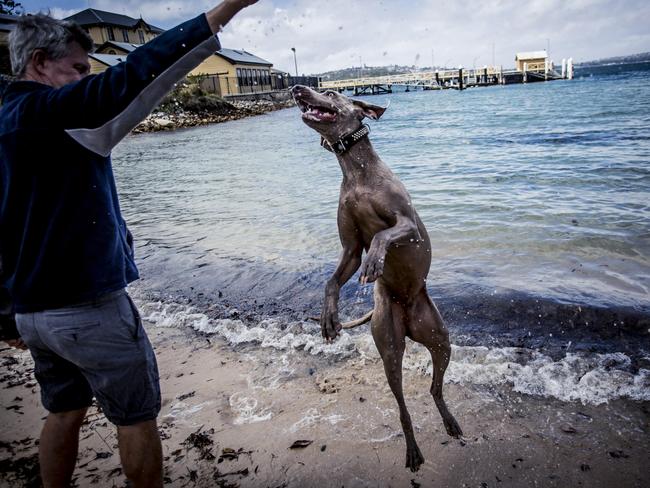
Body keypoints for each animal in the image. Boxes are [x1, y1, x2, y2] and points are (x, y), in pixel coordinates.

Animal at [292, 85, 458, 472]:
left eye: (330, 92)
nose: (296, 88)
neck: (356, 172)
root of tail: (409, 317)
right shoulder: (350, 249)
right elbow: (332, 281)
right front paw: (329, 317)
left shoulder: (408, 226)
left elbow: (384, 236)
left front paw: (376, 261)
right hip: (390, 346)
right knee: (404, 405)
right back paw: (413, 450)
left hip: (441, 338)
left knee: (435, 388)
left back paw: (449, 421)